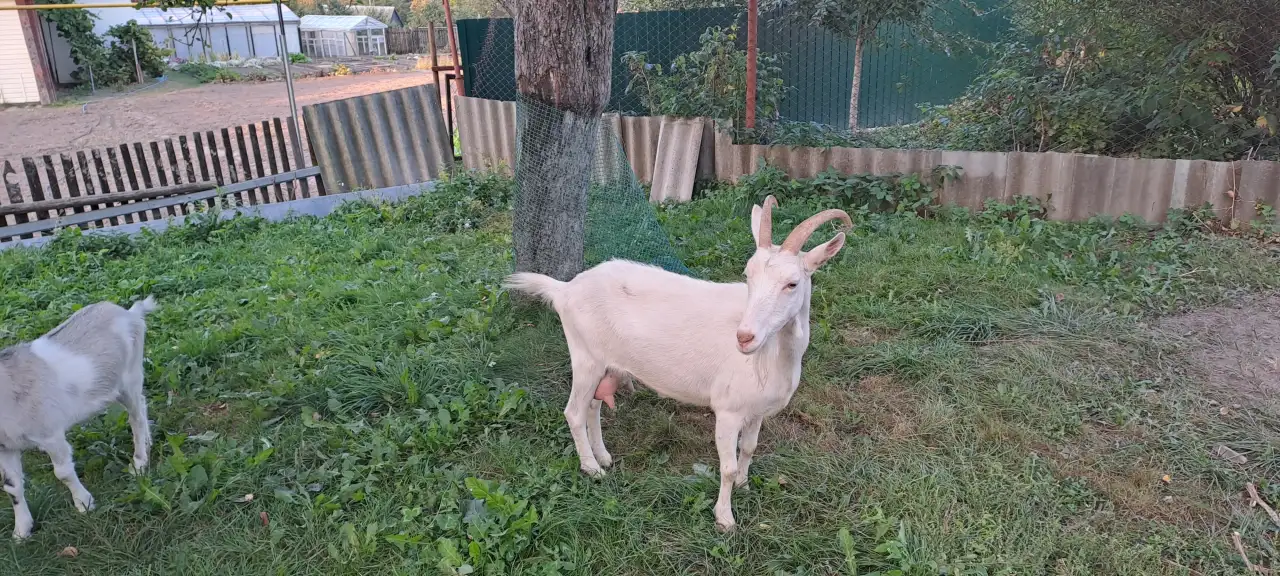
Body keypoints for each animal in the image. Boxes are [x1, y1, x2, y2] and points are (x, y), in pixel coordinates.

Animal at [0, 296, 158, 540]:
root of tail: (131, 313)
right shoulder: (5, 446)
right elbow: (11, 486)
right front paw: (21, 531)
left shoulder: (50, 433)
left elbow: (63, 472)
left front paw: (84, 504)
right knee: (141, 403)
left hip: (130, 376)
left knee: (136, 416)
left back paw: (139, 463)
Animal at [505, 196, 849, 531]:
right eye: (748, 276)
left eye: (792, 284)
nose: (744, 337)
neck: (773, 356)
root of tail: (564, 289)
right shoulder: (728, 410)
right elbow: (727, 466)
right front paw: (725, 518)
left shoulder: (757, 410)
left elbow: (749, 449)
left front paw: (745, 485)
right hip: (585, 357)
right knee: (574, 411)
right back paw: (591, 468)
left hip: (605, 364)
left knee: (593, 406)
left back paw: (603, 456)